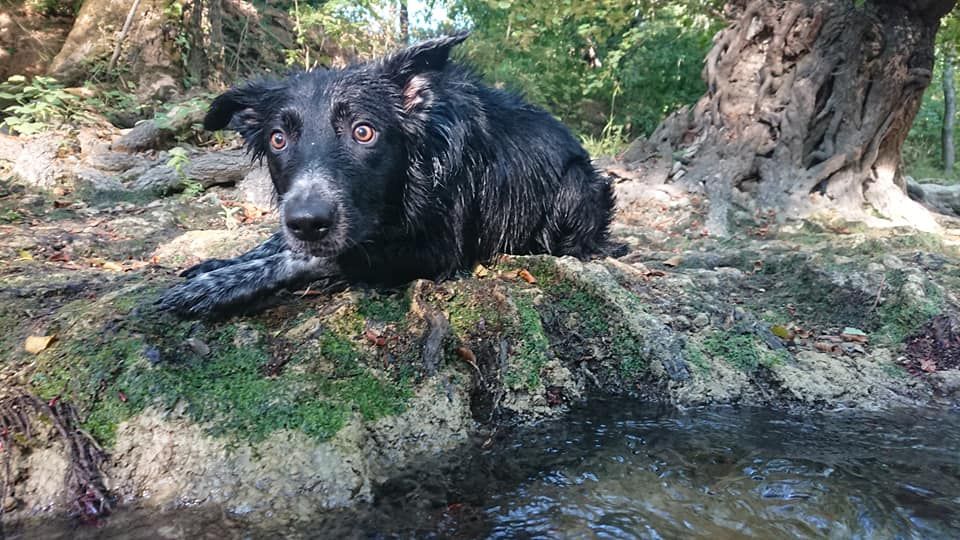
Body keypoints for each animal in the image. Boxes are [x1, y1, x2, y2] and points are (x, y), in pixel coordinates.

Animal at [158, 33, 616, 316]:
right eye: (277, 139)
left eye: (364, 131)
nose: (307, 222)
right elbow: (276, 242)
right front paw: (220, 264)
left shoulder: (435, 250)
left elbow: (307, 256)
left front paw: (217, 286)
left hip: (576, 186)